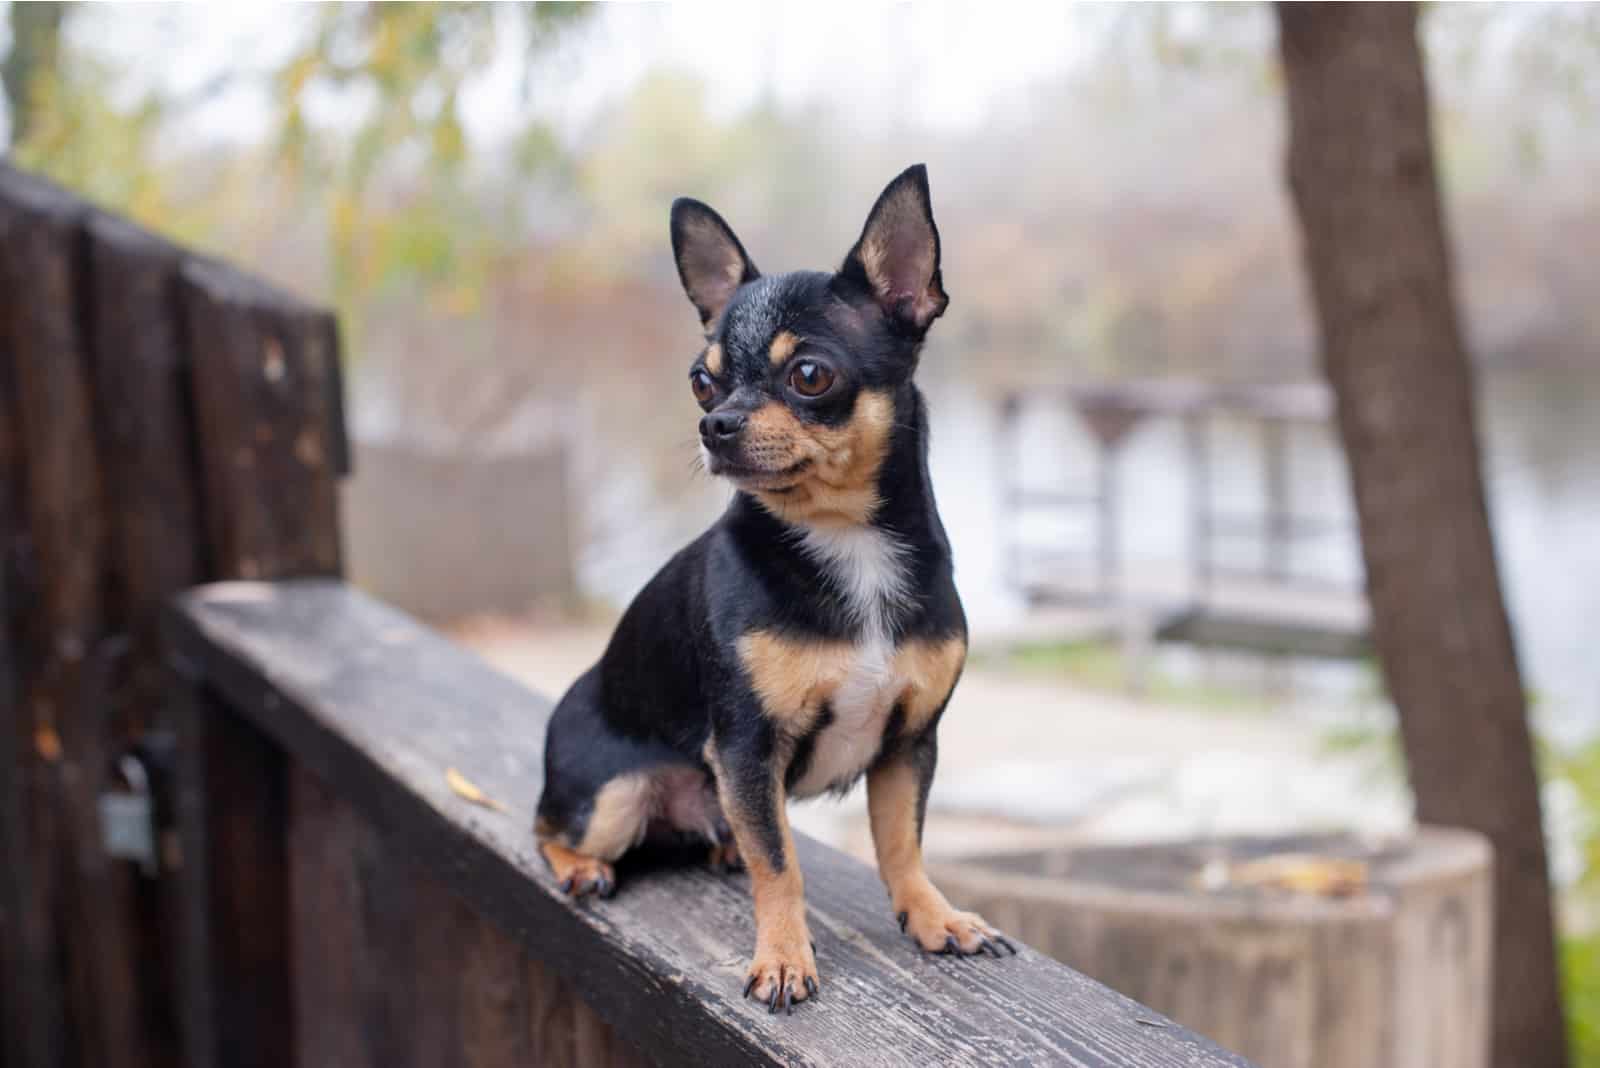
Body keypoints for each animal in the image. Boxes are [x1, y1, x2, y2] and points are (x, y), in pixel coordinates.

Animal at [534, 164, 1011, 1010]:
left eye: (809, 375)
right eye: (701, 381)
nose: (714, 423)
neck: (846, 543)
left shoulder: (909, 745)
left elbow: (902, 843)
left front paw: (933, 917)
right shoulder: (748, 749)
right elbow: (780, 863)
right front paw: (785, 957)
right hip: (612, 798)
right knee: (544, 827)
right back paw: (583, 868)